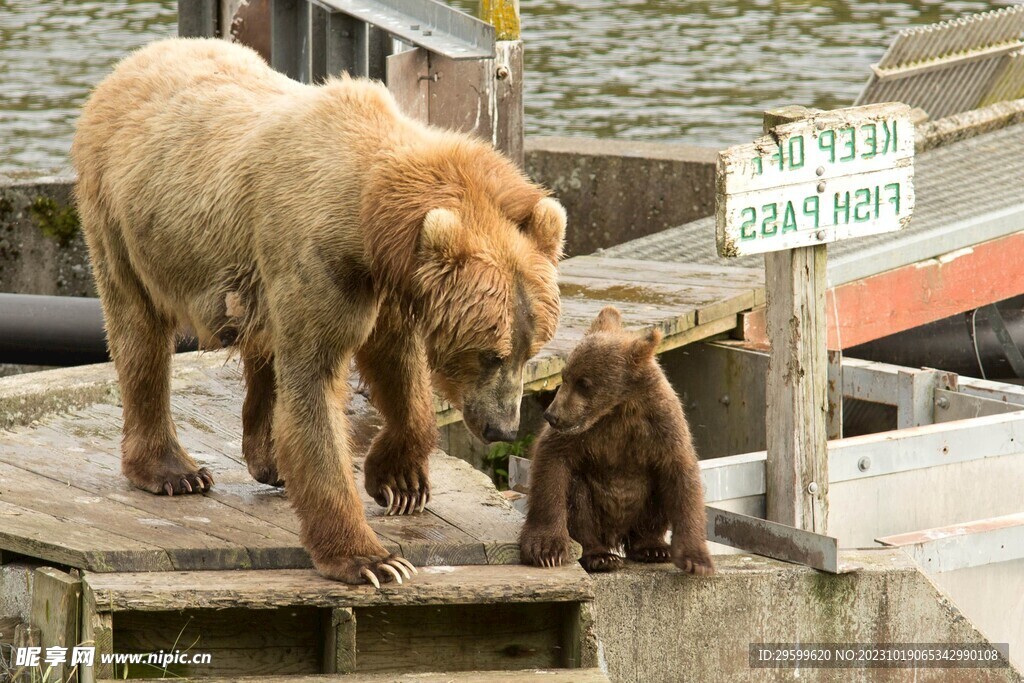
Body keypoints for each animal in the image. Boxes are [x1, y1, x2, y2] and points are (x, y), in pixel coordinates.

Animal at [70, 37, 569, 585]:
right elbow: (315, 385)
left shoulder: (386, 286)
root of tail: (132, 61)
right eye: (490, 353)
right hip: (122, 221)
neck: (370, 221)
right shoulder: (319, 257)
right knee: (140, 335)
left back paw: (266, 456)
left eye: (529, 349)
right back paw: (173, 470)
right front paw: (374, 560)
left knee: (261, 341)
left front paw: (401, 482)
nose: (503, 427)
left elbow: (398, 368)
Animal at [520, 309, 712, 577]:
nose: (552, 415)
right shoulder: (584, 434)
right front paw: (546, 549)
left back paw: (652, 548)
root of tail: (615, 534)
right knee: (578, 498)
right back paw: (601, 556)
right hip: (595, 504)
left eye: (584, 383)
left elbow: (682, 476)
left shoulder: (660, 426)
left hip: (644, 503)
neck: (619, 407)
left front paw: (697, 560)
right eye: (565, 377)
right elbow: (551, 465)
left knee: (657, 498)